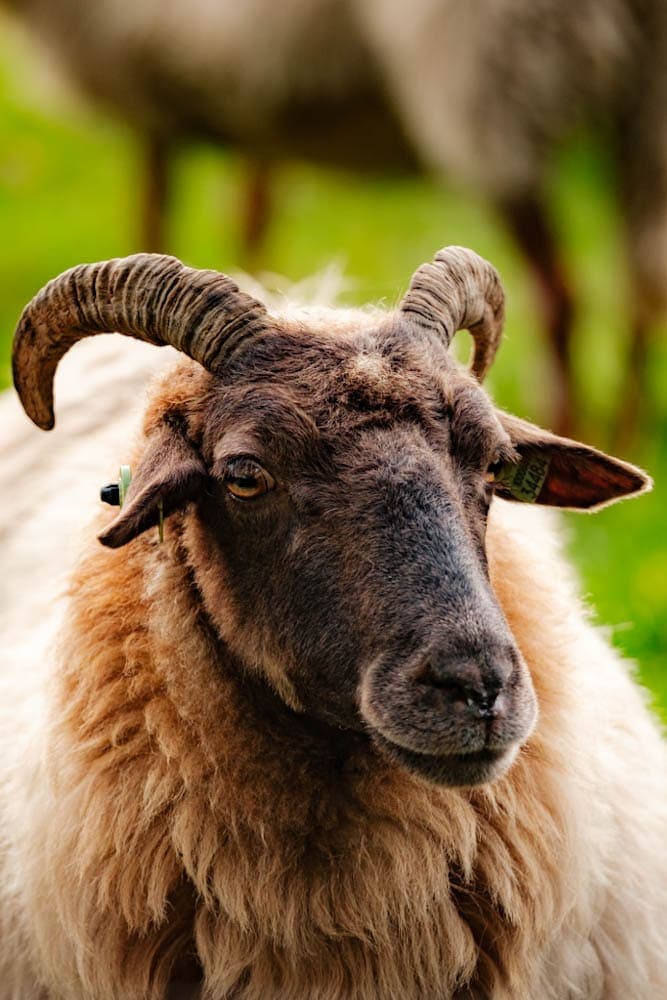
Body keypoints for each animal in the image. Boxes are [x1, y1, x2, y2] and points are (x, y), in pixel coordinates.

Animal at [5, 0, 667, 438]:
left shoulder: (155, 91)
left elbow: (153, 219)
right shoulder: (256, 105)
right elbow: (252, 218)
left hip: (492, 79)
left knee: (562, 294)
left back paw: (578, 433)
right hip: (643, 105)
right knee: (642, 280)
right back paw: (626, 435)